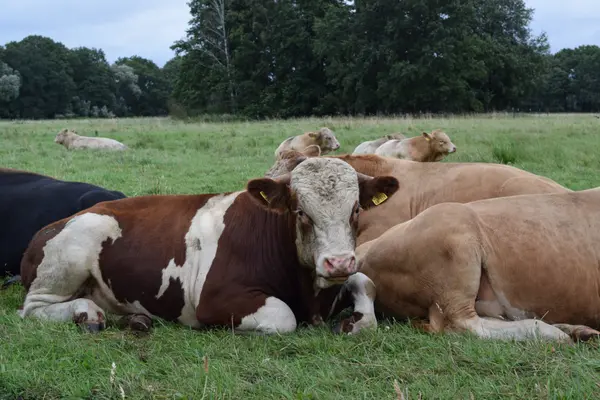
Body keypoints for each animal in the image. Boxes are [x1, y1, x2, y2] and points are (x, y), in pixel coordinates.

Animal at [18, 158, 400, 336]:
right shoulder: (215, 299)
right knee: (33, 309)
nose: (338, 262)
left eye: (355, 209)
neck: (313, 296)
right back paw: (86, 312)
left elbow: (366, 282)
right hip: (72, 252)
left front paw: (356, 320)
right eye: (300, 212)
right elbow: (284, 316)